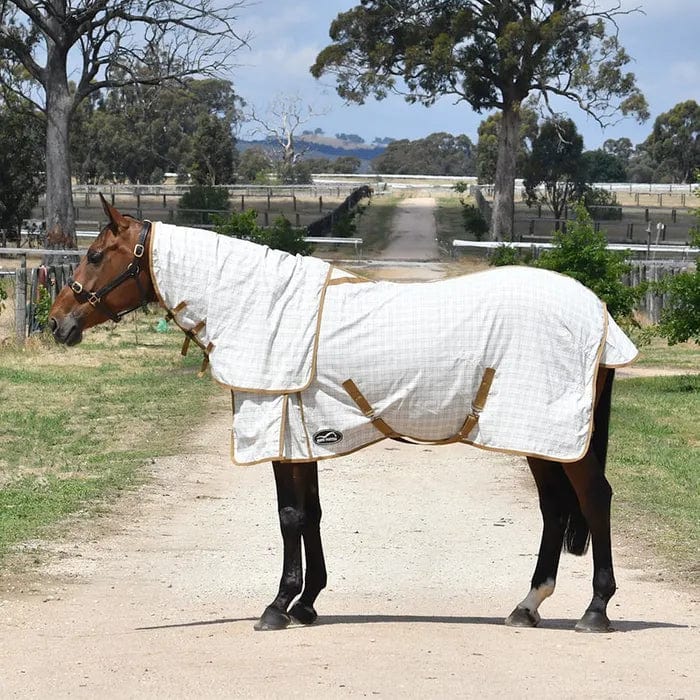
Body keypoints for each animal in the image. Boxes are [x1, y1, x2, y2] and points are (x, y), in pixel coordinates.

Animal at [49, 195, 637, 633]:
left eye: (96, 255)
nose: (56, 322)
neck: (259, 307)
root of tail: (599, 314)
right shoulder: (302, 435)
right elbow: (310, 514)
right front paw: (307, 603)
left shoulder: (278, 429)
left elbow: (289, 517)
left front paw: (277, 607)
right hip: (536, 437)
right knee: (555, 509)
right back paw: (527, 606)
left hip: (554, 437)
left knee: (594, 499)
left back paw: (595, 610)